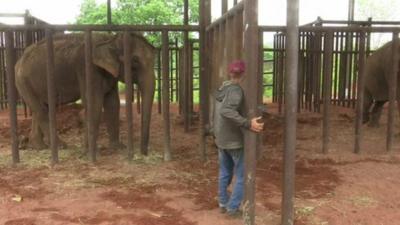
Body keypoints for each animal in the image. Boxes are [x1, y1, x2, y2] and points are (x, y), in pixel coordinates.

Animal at [14, 32, 155, 155]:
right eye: (135, 61)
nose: (143, 153)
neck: (109, 39)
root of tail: (19, 60)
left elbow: (113, 103)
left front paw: (118, 147)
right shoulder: (87, 69)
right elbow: (94, 103)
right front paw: (90, 153)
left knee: (41, 108)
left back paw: (39, 147)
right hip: (23, 82)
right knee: (41, 110)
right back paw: (61, 146)